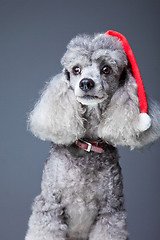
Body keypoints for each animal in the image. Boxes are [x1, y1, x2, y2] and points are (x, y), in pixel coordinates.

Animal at [25, 30, 160, 240]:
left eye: (106, 69)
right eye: (76, 69)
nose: (86, 83)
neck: (88, 144)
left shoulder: (110, 211)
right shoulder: (50, 206)